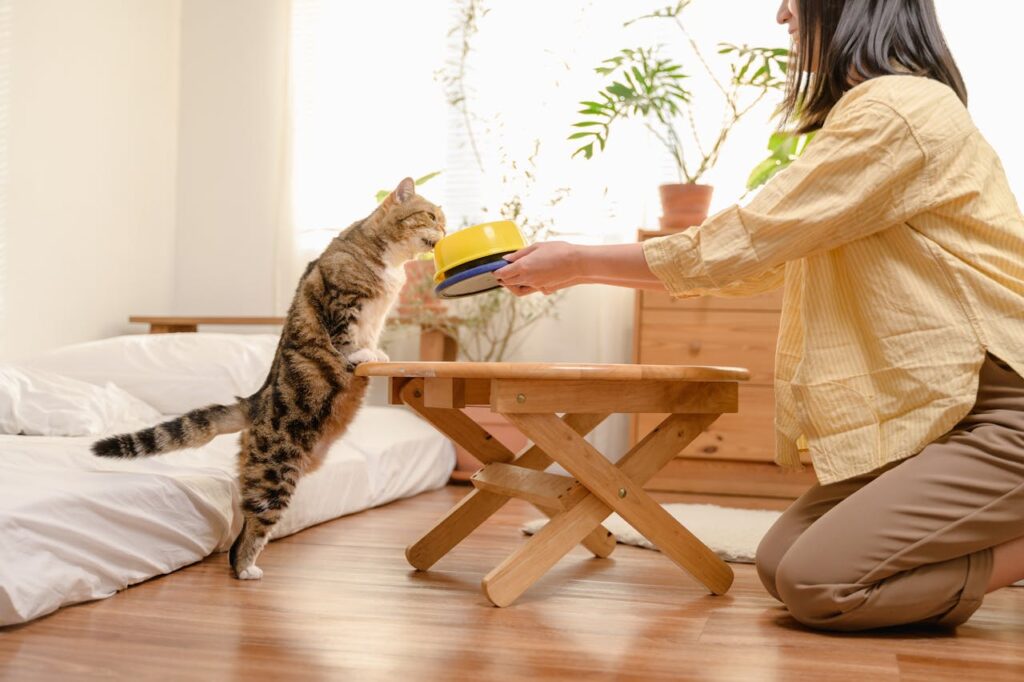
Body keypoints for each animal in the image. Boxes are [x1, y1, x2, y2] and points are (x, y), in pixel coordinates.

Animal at [94, 178, 446, 577]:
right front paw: (361, 356)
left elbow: (369, 337)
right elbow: (346, 339)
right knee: (248, 534)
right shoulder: (342, 303)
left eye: (443, 219)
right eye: (430, 215)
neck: (390, 263)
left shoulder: (375, 317)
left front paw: (376, 354)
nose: (446, 230)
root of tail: (255, 400)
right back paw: (247, 570)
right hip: (275, 472)